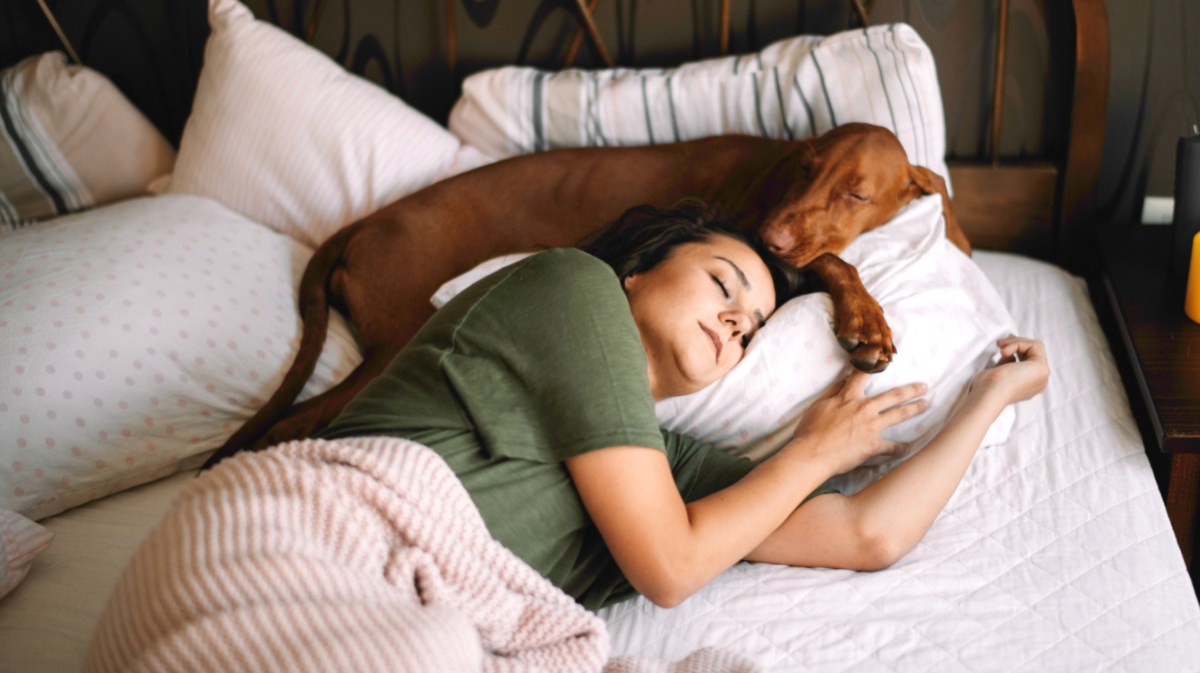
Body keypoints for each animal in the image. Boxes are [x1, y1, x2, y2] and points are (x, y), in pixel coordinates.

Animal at [208, 121, 964, 460]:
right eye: (805, 167)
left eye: (856, 193)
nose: (774, 236)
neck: (769, 173)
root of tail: (365, 222)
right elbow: (836, 262)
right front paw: (866, 320)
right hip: (394, 343)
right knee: (296, 421)